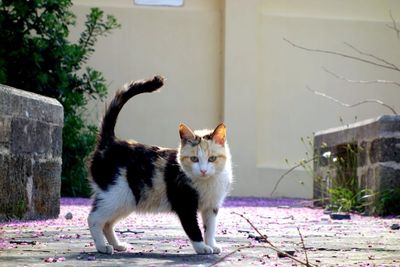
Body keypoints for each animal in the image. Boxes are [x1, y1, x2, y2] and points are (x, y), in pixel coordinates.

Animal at [87, 75, 231, 255]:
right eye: (194, 159)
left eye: (212, 158)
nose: (203, 171)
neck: (206, 183)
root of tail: (110, 142)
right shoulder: (184, 205)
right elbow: (193, 228)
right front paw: (202, 248)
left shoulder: (211, 207)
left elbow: (210, 228)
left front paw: (211, 244)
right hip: (115, 194)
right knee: (94, 218)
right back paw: (102, 246)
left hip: (126, 201)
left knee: (108, 223)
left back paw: (117, 245)